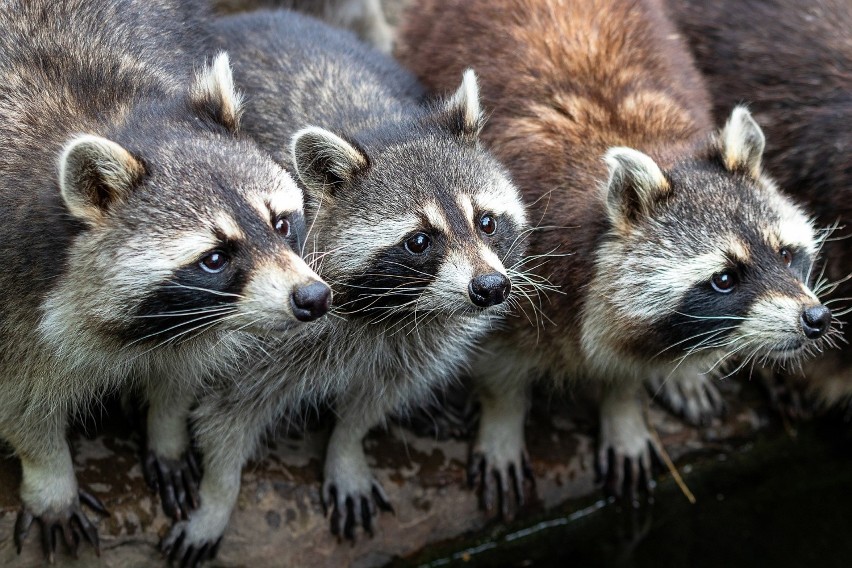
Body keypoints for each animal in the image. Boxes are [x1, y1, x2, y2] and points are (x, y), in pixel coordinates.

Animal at [0, 0, 330, 560]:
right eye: (215, 258)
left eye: (281, 224)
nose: (313, 297)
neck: (110, 114)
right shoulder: (11, 283)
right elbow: (20, 398)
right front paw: (50, 476)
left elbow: (183, 366)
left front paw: (167, 425)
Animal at [153, 11, 524, 560]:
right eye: (419, 241)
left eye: (486, 222)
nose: (491, 287)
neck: (391, 311)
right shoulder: (253, 332)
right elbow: (224, 416)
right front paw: (218, 496)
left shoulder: (416, 339)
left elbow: (374, 400)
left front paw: (346, 447)